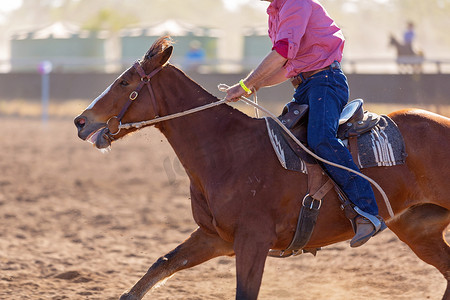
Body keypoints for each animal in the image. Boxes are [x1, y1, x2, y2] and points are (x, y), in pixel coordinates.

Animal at [74, 36, 450, 298]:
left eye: (124, 83)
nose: (81, 121)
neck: (229, 150)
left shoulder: (252, 241)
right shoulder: (215, 238)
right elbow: (160, 266)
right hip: (418, 229)